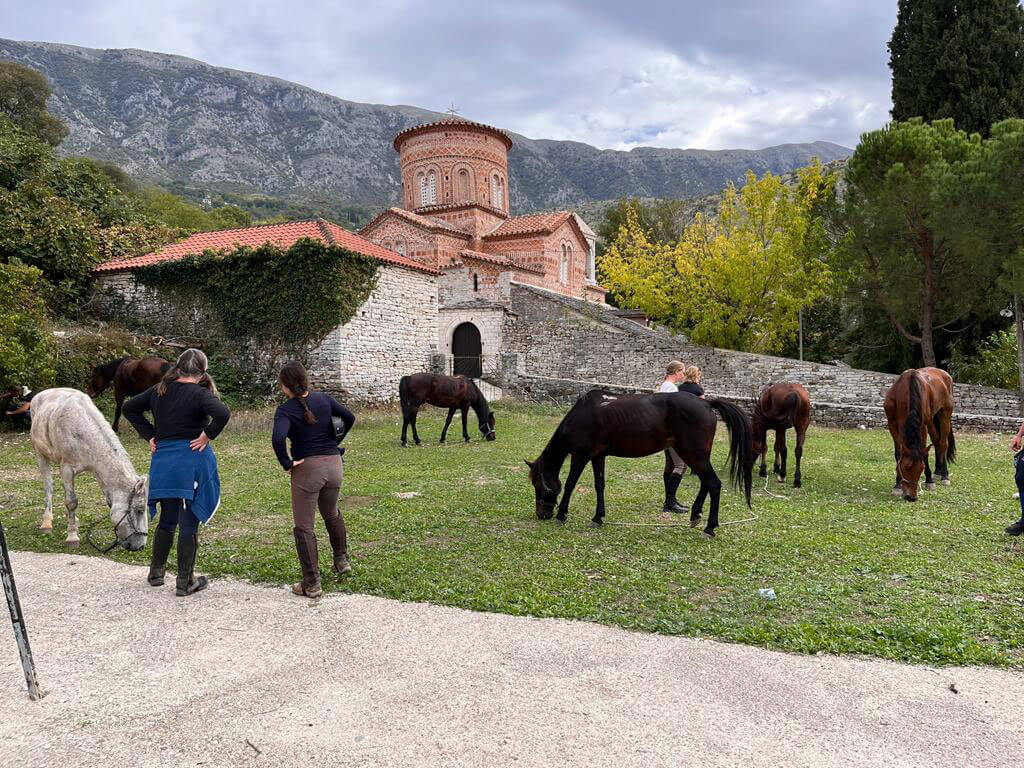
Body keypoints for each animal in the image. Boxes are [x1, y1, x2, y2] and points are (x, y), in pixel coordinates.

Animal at [30, 388, 148, 550]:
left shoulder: (99, 472)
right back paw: (47, 522)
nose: (140, 546)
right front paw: (72, 536)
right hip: (40, 455)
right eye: (139, 510)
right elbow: (71, 502)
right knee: (49, 487)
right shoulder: (66, 469)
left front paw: (73, 524)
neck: (82, 429)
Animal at [526, 390, 753, 538]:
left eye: (538, 485)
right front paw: (598, 517)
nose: (542, 514)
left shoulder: (581, 456)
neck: (584, 414)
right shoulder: (598, 457)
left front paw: (562, 514)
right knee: (706, 483)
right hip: (695, 456)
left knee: (714, 484)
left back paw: (710, 528)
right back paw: (695, 515)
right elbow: (599, 485)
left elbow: (571, 483)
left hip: (693, 454)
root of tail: (707, 404)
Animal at [883, 367, 955, 502]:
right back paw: (937, 471)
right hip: (932, 419)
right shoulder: (892, 424)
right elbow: (898, 453)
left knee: (943, 443)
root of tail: (944, 374)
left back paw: (944, 475)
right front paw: (897, 485)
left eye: (921, 468)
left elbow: (924, 453)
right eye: (905, 467)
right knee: (937, 441)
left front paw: (929, 481)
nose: (911, 497)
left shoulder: (922, 425)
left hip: (945, 413)